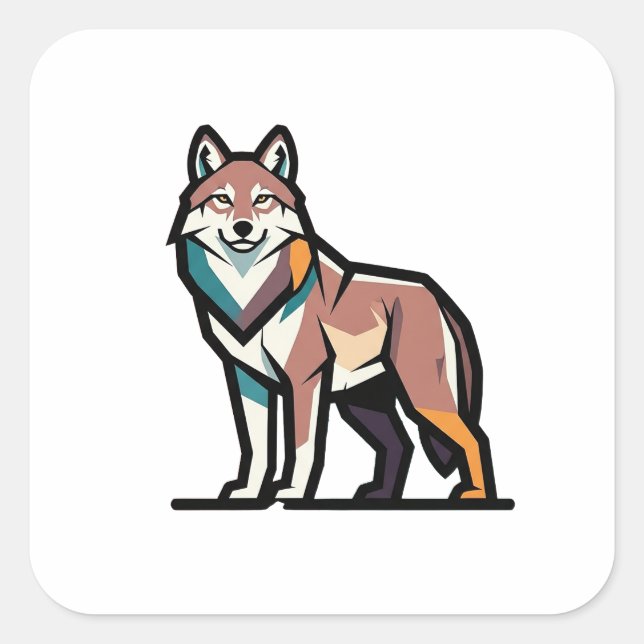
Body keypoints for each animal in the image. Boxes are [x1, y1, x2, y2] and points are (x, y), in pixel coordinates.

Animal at [168, 125, 497, 505]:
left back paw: (476, 494)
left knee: (475, 438)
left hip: (424, 398)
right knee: (401, 443)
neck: (247, 288)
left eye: (262, 200)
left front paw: (294, 492)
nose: (243, 228)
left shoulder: (303, 381)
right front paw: (249, 493)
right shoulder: (247, 380)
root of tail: (439, 297)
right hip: (360, 404)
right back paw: (380, 495)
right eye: (222, 199)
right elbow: (257, 446)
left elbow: (302, 446)